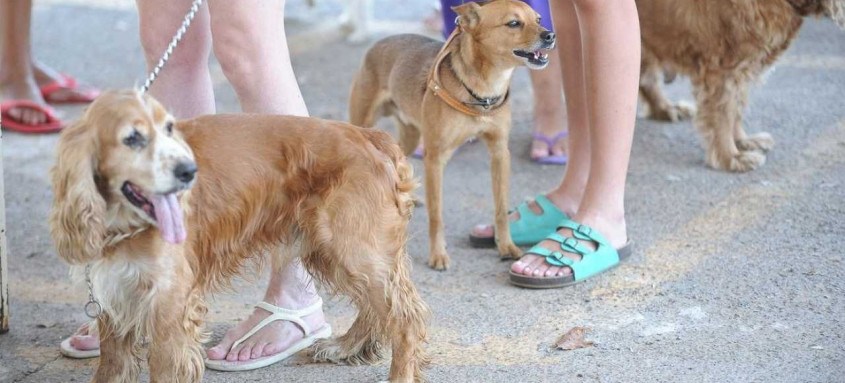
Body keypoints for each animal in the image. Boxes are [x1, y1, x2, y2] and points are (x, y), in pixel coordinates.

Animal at [51, 91, 428, 383]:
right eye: (132, 138)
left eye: (169, 129)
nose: (189, 171)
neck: (123, 221)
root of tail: (370, 136)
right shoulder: (116, 293)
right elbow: (112, 364)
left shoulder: (170, 302)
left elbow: (164, 367)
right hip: (334, 250)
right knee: (377, 307)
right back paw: (346, 346)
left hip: (352, 247)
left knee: (405, 317)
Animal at [348, 0, 552, 270]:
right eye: (513, 23)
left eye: (538, 19)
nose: (550, 35)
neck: (484, 90)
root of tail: (379, 43)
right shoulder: (435, 158)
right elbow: (437, 214)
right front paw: (438, 255)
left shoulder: (499, 153)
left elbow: (500, 207)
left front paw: (506, 246)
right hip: (363, 122)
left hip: (411, 136)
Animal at [640, 0, 844, 172]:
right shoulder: (721, 71)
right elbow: (723, 116)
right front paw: (731, 157)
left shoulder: (740, 69)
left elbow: (735, 110)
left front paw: (743, 141)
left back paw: (666, 109)